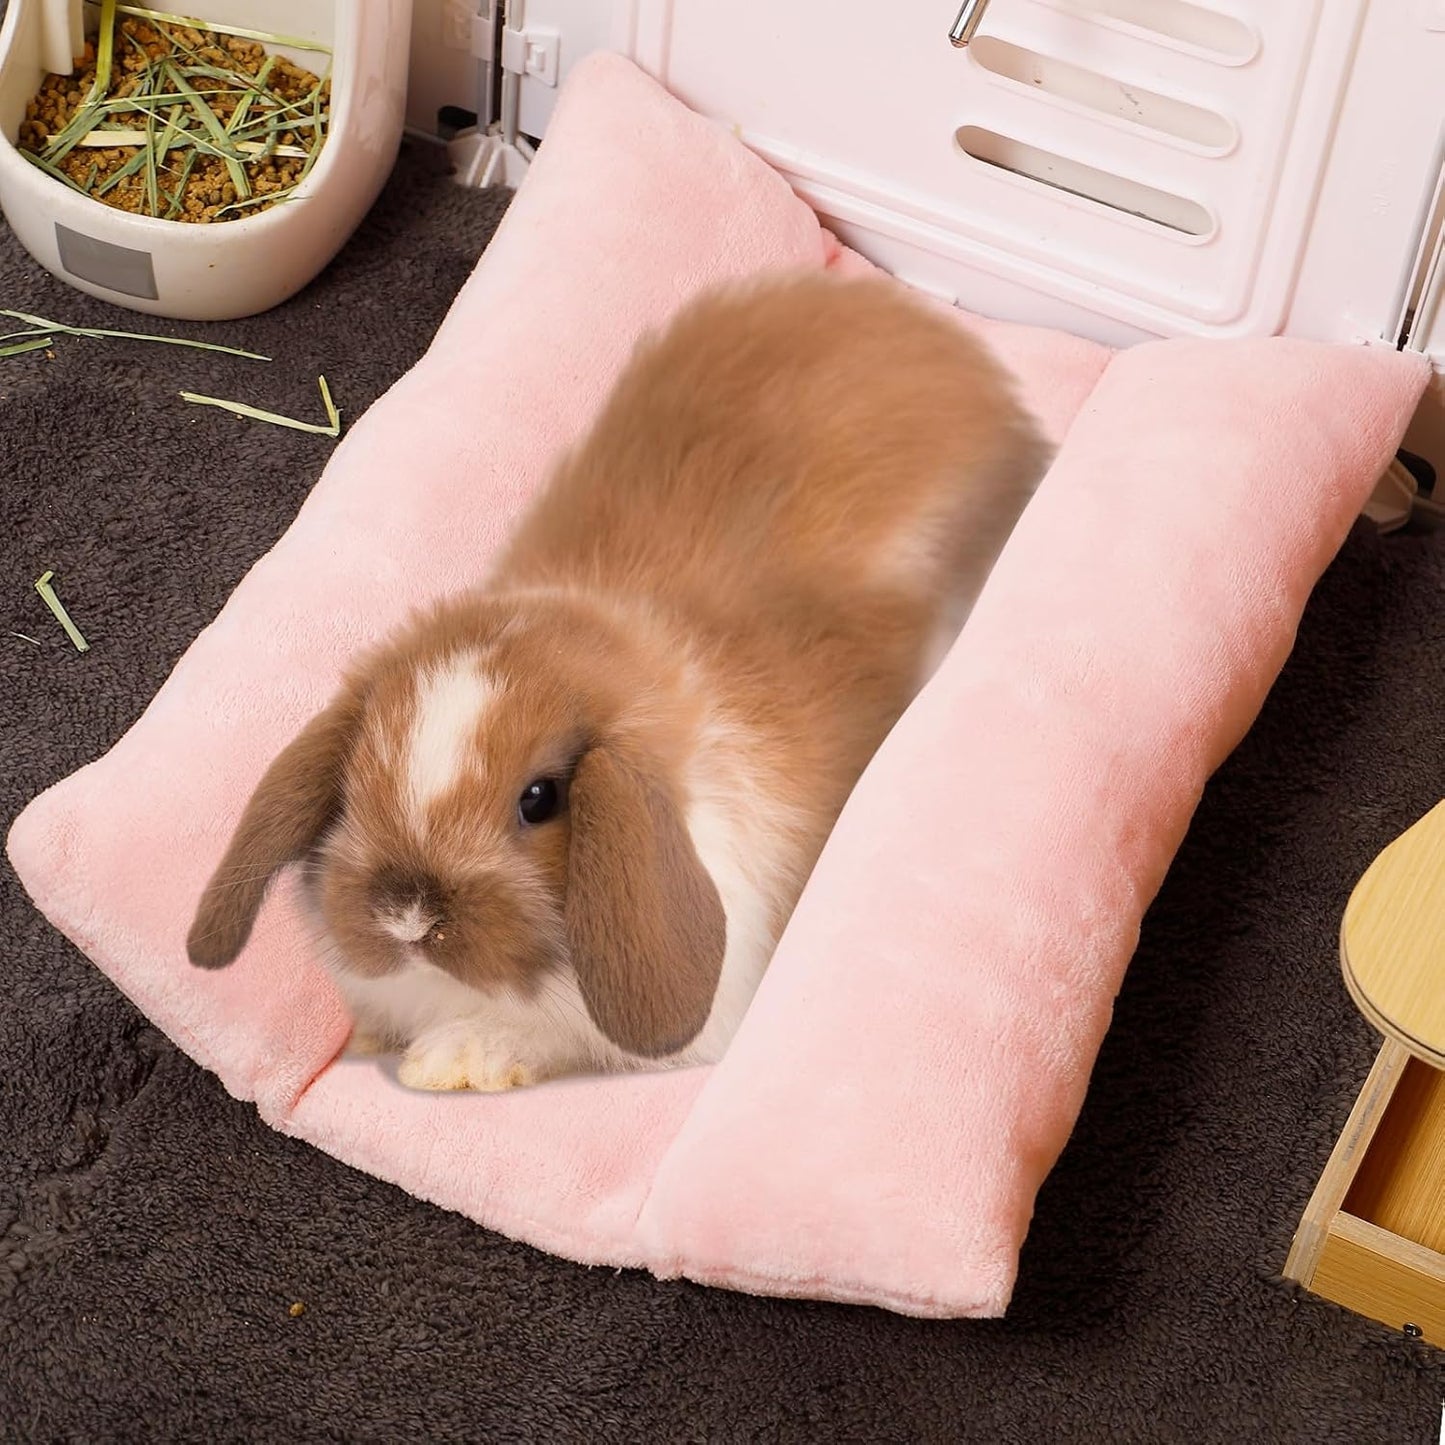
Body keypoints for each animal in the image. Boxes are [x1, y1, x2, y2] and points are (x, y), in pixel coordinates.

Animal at [186, 271, 1050, 1092]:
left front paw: (453, 1059)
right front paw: (377, 1039)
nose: (407, 917)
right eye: (358, 777)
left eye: (540, 798)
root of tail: (935, 333)